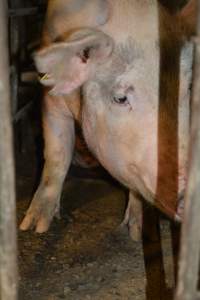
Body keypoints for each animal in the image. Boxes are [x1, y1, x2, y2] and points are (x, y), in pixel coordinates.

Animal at [19, 0, 195, 240]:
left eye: (188, 87)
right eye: (120, 98)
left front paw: (136, 233)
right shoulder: (51, 99)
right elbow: (56, 155)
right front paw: (34, 227)